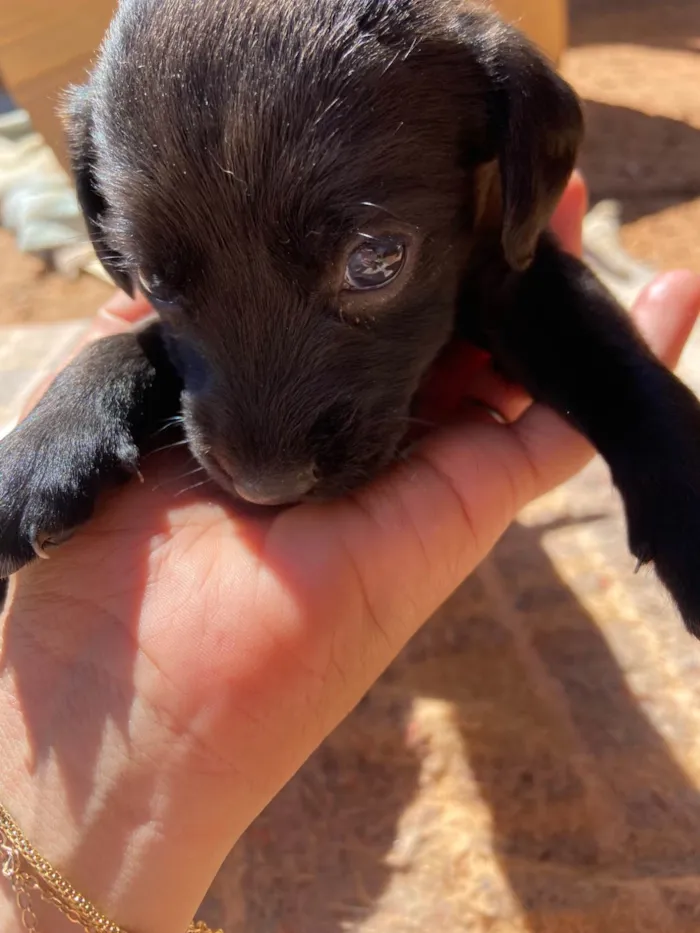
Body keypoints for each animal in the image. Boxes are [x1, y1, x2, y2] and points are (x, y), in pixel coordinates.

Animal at [1, 0, 700, 632]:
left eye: (376, 261)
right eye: (151, 281)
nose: (267, 487)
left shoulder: (518, 270)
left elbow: (619, 363)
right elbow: (127, 342)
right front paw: (41, 446)